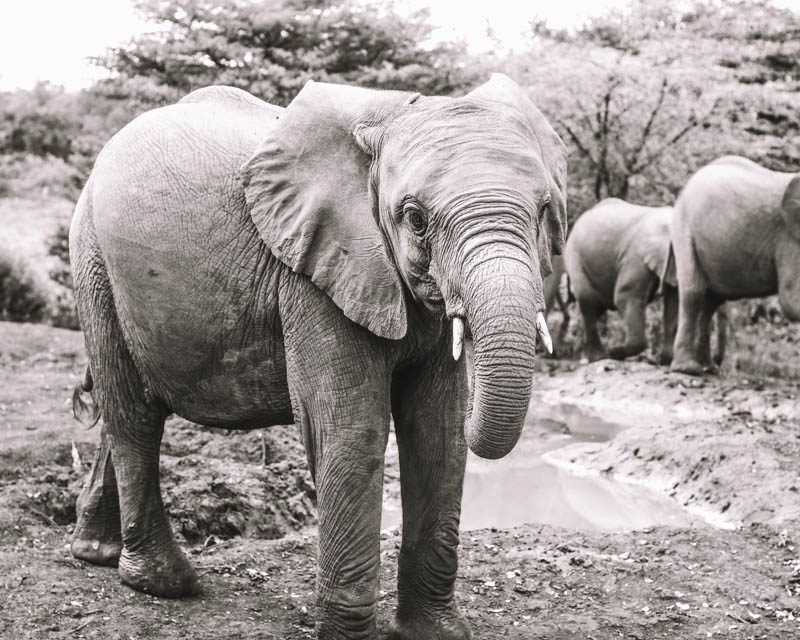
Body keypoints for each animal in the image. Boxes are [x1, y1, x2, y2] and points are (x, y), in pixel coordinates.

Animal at [67, 75, 567, 639]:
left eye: (544, 211)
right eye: (415, 220)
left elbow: (437, 431)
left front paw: (435, 632)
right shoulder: (312, 273)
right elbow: (350, 431)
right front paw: (351, 635)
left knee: (124, 410)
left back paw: (96, 553)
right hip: (95, 264)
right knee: (134, 413)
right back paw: (165, 582)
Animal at [564, 198, 680, 363]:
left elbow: (673, 302)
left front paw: (666, 360)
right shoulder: (636, 256)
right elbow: (625, 296)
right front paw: (615, 352)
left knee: (595, 307)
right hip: (574, 257)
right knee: (588, 301)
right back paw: (599, 358)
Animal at [670, 156, 799, 375]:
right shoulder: (790, 240)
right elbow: (791, 300)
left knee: (711, 302)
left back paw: (710, 368)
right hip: (684, 228)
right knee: (693, 293)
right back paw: (688, 368)